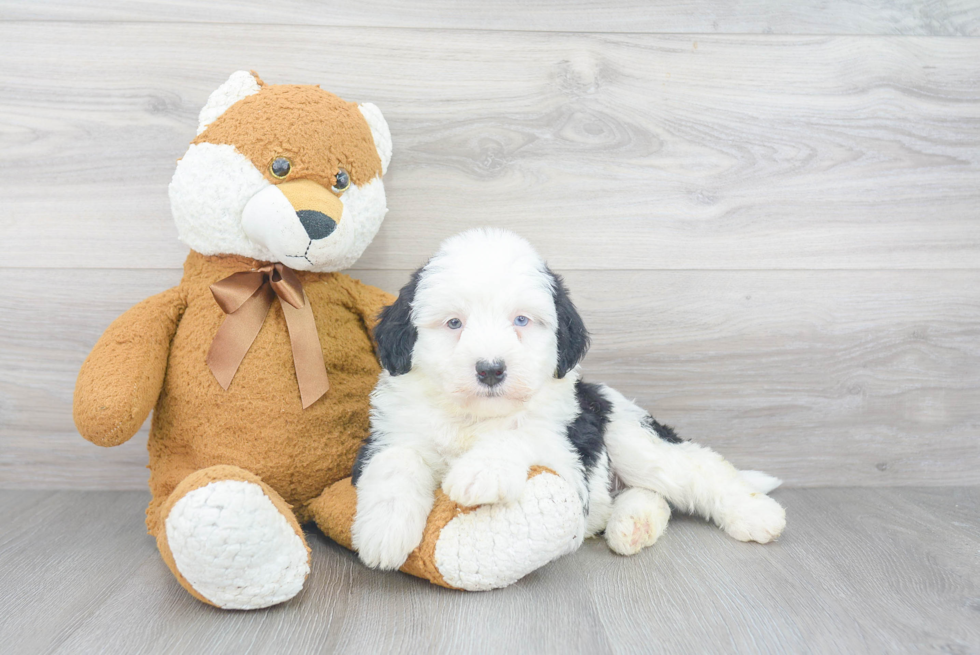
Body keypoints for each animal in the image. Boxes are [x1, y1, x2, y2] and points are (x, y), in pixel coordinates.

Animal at [348, 228, 784, 572]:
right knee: (652, 494)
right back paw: (633, 526)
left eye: (521, 320)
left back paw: (757, 513)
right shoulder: (389, 432)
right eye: (454, 323)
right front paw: (384, 530)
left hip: (630, 438)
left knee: (695, 469)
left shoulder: (568, 458)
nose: (490, 370)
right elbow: (397, 460)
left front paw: (483, 470)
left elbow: (523, 432)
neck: (475, 418)